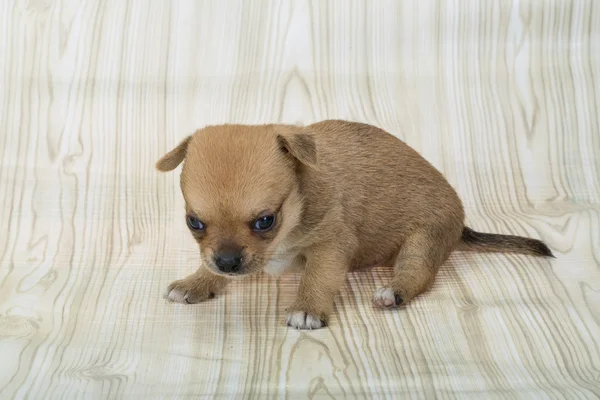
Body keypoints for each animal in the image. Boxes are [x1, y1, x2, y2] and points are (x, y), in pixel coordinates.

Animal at [156, 120, 552, 330]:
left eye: (265, 221)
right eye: (194, 222)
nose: (227, 262)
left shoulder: (330, 247)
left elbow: (317, 277)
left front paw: (308, 307)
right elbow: (208, 267)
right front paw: (196, 282)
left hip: (423, 241)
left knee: (419, 273)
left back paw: (393, 291)